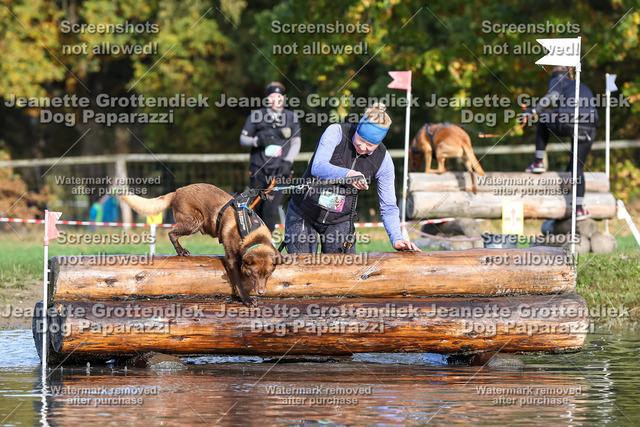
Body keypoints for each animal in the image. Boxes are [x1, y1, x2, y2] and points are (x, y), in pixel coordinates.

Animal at [121, 183, 277, 307]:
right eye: (255, 273)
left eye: (268, 274)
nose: (261, 292)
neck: (252, 234)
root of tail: (177, 191)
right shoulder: (231, 260)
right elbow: (238, 283)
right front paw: (247, 300)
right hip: (194, 221)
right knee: (171, 233)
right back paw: (181, 251)